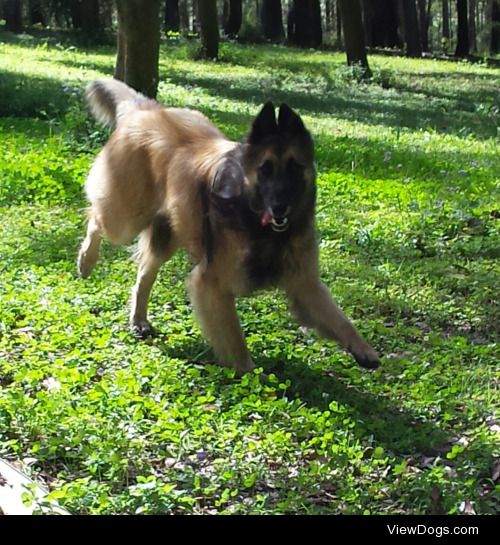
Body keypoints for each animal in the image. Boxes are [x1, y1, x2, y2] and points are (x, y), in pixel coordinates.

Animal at [78, 77, 378, 374]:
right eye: (265, 169)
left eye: (294, 167)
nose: (279, 207)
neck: (258, 224)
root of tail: (148, 110)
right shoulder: (212, 283)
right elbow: (234, 337)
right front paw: (248, 372)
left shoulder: (304, 283)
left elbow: (339, 318)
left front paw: (363, 349)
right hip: (126, 218)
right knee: (96, 218)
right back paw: (86, 261)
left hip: (166, 234)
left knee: (144, 274)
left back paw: (139, 319)